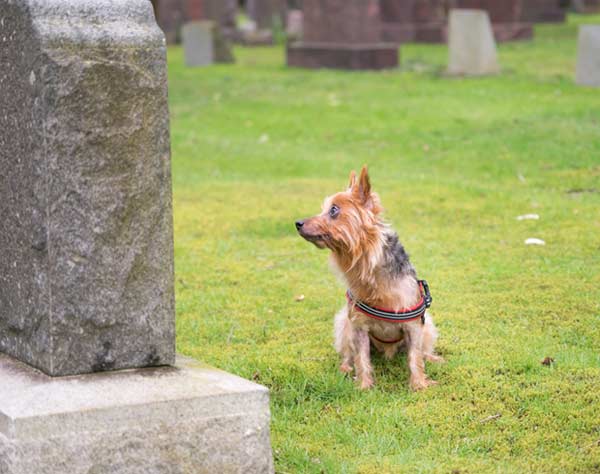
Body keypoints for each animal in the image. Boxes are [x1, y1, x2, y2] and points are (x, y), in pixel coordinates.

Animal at [296, 166, 442, 388]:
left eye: (333, 210)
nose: (298, 223)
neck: (368, 268)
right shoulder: (358, 326)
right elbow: (361, 358)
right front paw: (364, 386)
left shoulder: (414, 326)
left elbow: (415, 357)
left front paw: (419, 385)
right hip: (344, 323)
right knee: (348, 353)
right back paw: (345, 367)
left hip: (427, 325)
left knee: (423, 350)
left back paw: (432, 358)